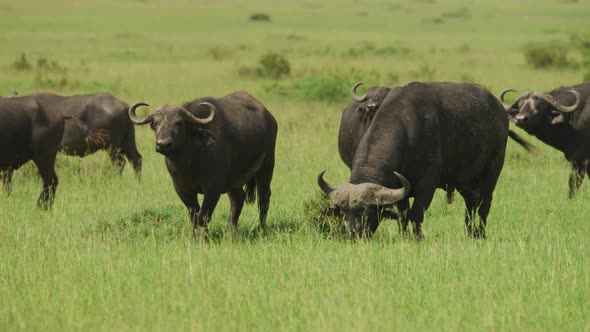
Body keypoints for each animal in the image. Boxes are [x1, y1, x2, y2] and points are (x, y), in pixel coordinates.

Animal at [128, 89, 278, 237]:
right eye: (155, 123)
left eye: (179, 123)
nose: (163, 144)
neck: (190, 161)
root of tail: (270, 118)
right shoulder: (181, 188)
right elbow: (194, 214)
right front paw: (196, 236)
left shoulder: (213, 187)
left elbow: (204, 215)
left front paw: (203, 237)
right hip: (233, 181)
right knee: (238, 198)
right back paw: (231, 231)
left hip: (266, 166)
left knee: (264, 198)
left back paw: (261, 229)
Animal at [320, 82, 532, 240]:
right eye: (344, 212)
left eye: (367, 212)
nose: (353, 236)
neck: (407, 129)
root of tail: (500, 111)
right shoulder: (399, 187)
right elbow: (403, 214)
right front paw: (404, 236)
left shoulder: (426, 184)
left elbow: (416, 212)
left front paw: (418, 238)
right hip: (464, 179)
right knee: (471, 203)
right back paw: (469, 233)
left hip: (492, 170)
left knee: (484, 204)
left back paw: (480, 234)